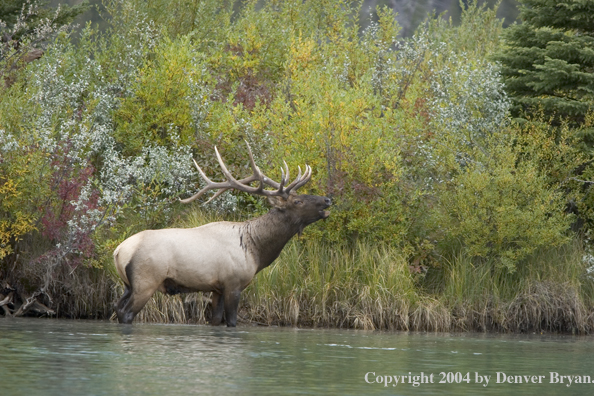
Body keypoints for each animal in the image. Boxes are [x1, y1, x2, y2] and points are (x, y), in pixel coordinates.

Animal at [113, 142, 330, 324]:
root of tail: (118, 251)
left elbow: (215, 321)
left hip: (127, 285)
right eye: (297, 201)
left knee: (117, 309)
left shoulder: (216, 288)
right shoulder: (233, 284)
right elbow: (231, 321)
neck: (256, 250)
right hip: (146, 281)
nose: (327, 200)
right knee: (126, 313)